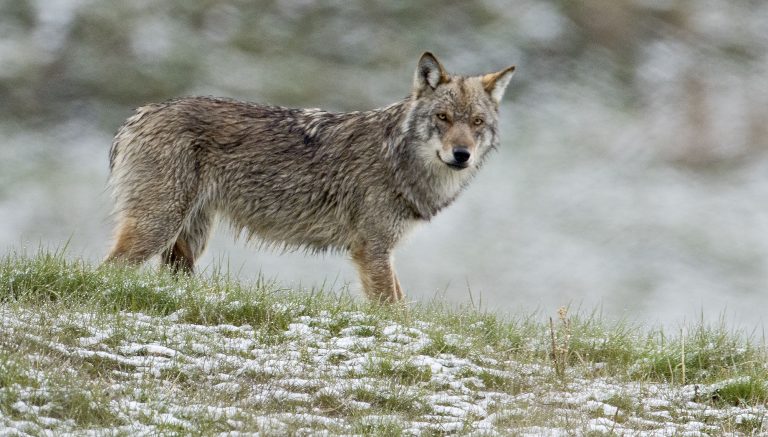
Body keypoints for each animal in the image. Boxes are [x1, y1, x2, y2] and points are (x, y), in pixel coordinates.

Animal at [105, 52, 516, 302]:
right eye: (443, 118)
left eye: (476, 122)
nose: (461, 155)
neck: (398, 159)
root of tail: (139, 115)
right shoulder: (372, 249)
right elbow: (393, 308)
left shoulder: (381, 251)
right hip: (157, 229)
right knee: (108, 270)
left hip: (188, 242)